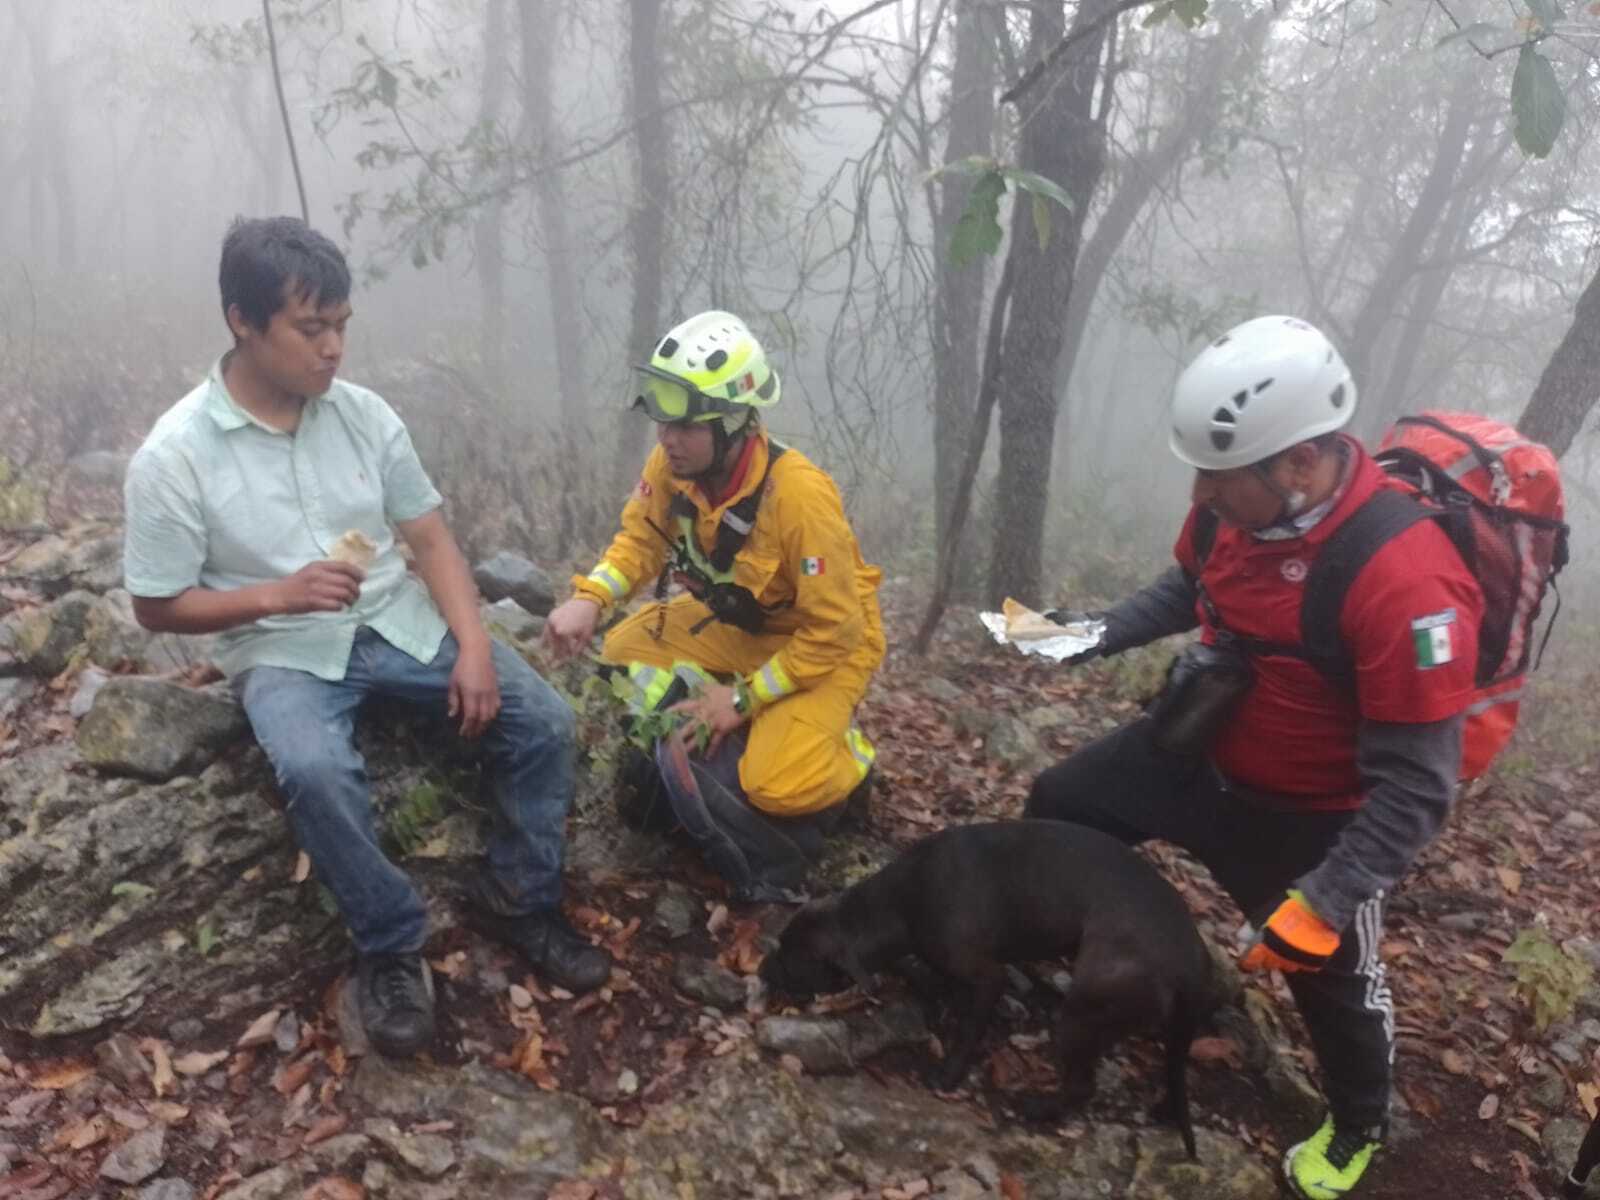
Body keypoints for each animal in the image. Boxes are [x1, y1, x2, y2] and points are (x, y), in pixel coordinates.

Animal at [761, 825, 1209, 1158]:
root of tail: (1189, 957)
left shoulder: (986, 976)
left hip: (1082, 1014)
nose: (763, 969)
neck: (899, 901)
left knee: (1083, 1084)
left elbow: (969, 1028)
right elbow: (936, 983)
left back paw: (1038, 1107)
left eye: (791, 961)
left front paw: (948, 1072)